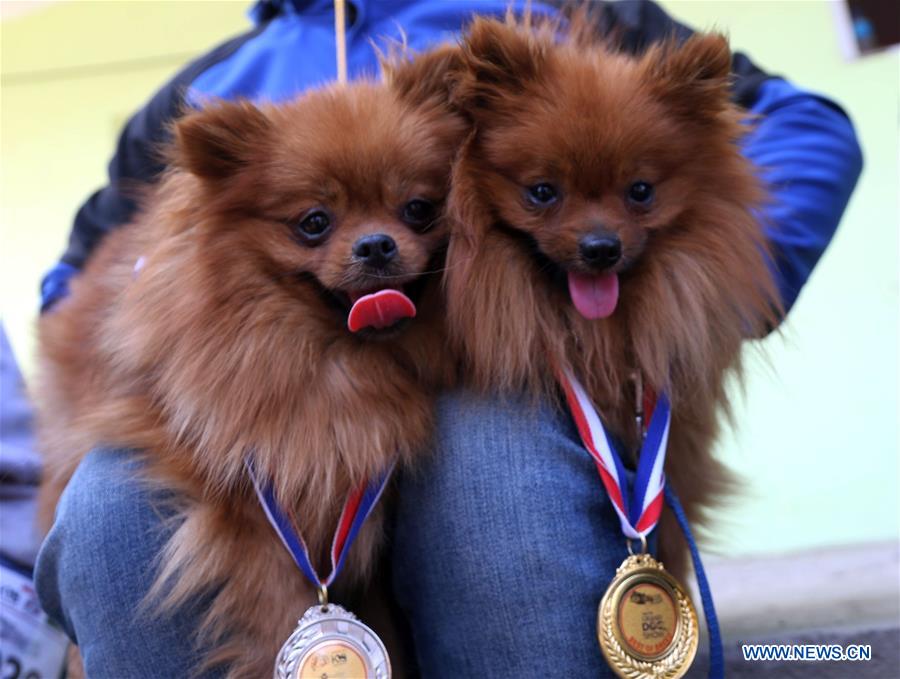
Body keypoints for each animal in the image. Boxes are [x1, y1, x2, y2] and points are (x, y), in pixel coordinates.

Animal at [35, 45, 464, 676]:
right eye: (314, 223)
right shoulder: (248, 516)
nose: (376, 244)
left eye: (418, 209)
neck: (330, 367)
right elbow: (275, 617)